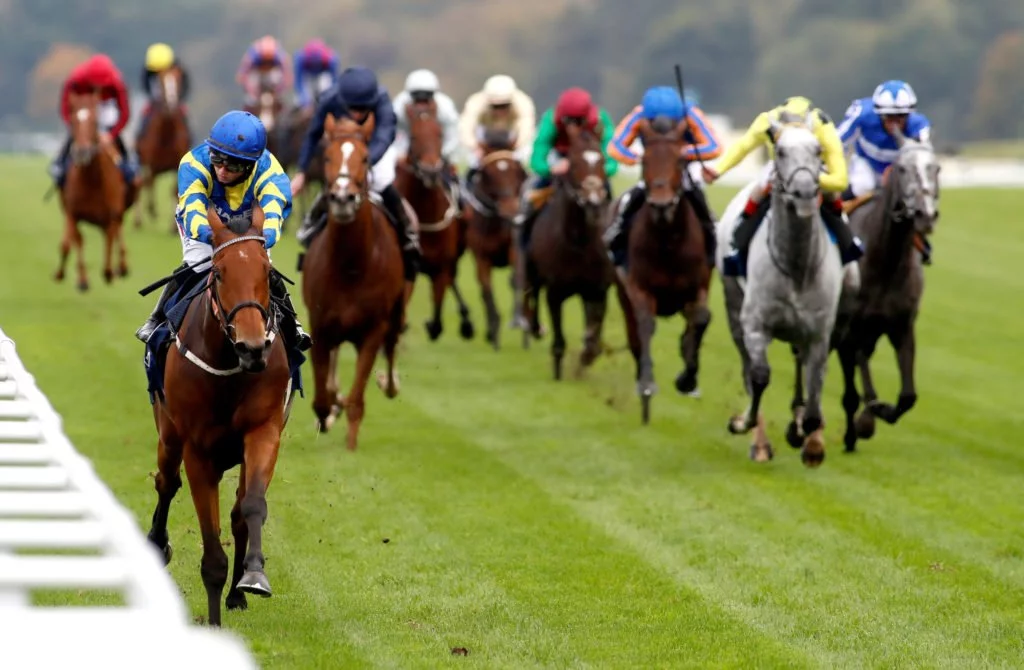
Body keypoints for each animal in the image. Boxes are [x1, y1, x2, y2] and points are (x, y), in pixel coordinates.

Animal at [142, 205, 292, 631]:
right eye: (220, 273)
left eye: (267, 273)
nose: (253, 347)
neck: (230, 364)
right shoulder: (198, 451)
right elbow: (211, 554)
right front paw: (212, 621)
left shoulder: (264, 431)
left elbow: (251, 507)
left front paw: (252, 576)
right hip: (168, 434)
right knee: (166, 482)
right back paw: (157, 543)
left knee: (239, 510)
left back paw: (238, 593)